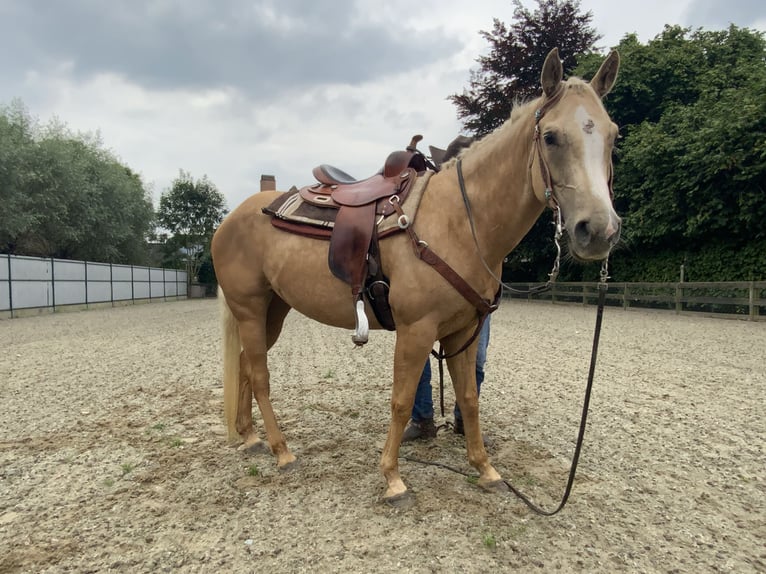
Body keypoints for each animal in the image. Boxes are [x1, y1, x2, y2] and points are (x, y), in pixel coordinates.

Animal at [213, 49, 620, 508]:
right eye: (550, 136)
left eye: (613, 136)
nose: (599, 230)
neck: (459, 220)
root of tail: (232, 217)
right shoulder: (416, 330)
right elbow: (402, 400)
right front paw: (393, 478)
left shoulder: (462, 332)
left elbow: (469, 399)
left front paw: (486, 469)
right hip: (250, 307)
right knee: (260, 375)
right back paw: (282, 451)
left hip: (274, 310)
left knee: (246, 366)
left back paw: (250, 437)